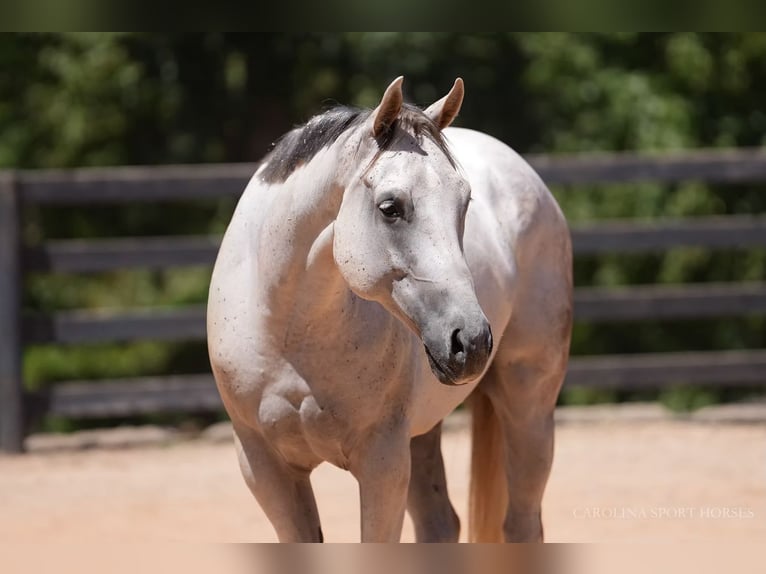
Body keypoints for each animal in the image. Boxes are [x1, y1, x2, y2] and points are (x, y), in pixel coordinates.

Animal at [207, 76, 572, 542]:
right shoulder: (265, 467)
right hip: (422, 434)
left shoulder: (383, 465)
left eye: (465, 203)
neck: (293, 335)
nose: (471, 342)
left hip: (529, 406)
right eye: (390, 207)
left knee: (522, 523)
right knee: (440, 523)